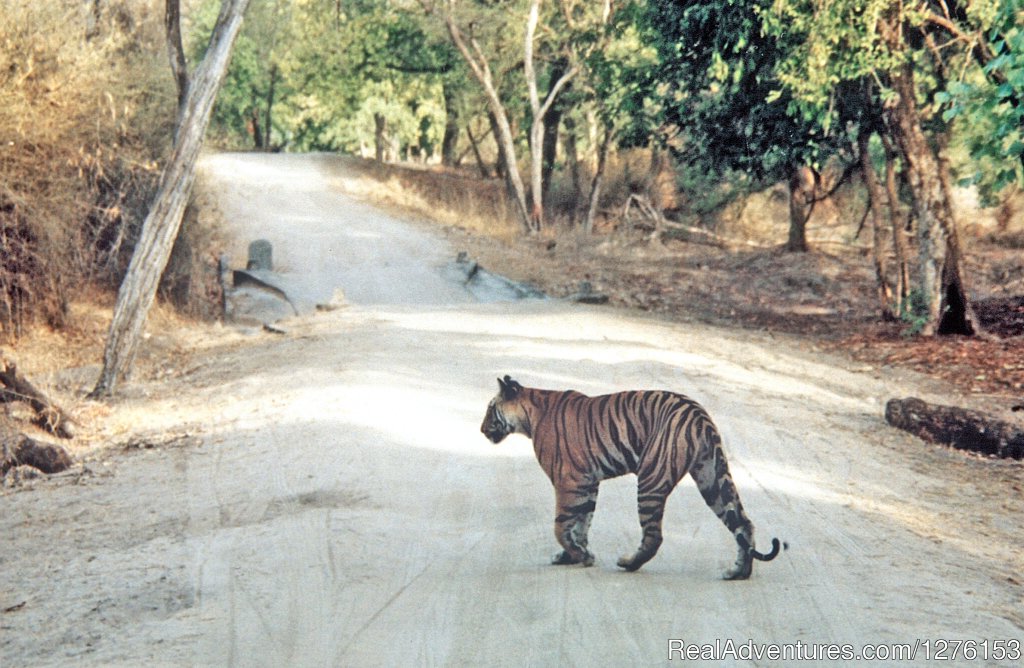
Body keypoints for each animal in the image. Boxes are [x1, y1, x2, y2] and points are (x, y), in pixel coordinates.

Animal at [479, 374, 782, 577]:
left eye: (490, 408)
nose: (481, 430)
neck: (530, 417)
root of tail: (699, 415)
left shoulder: (569, 482)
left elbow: (561, 526)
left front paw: (580, 556)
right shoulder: (588, 483)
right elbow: (581, 525)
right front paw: (576, 555)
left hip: (650, 480)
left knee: (654, 535)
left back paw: (628, 563)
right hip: (712, 477)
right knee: (743, 523)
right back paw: (738, 572)